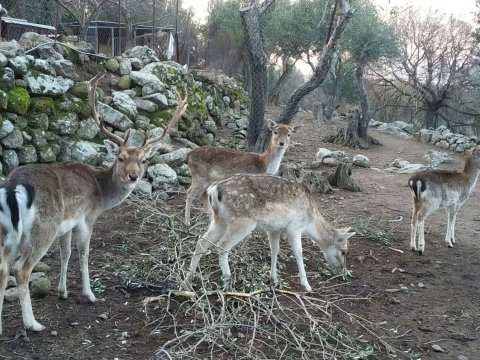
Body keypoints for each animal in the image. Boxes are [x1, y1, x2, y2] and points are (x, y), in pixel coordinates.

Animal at [0, 73, 188, 334]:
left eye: (143, 160)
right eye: (120, 158)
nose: (133, 176)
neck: (101, 192)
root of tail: (13, 186)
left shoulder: (66, 226)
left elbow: (66, 253)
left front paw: (62, 292)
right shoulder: (87, 217)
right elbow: (83, 253)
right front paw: (89, 294)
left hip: (9, 231)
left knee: (3, 268)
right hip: (43, 226)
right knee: (21, 269)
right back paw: (33, 324)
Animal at [182, 172, 354, 292]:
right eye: (344, 251)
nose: (342, 268)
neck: (310, 220)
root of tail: (213, 190)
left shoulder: (275, 229)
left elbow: (274, 249)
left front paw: (274, 279)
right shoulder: (294, 226)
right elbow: (298, 252)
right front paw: (306, 285)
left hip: (220, 220)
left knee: (202, 242)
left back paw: (187, 282)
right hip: (243, 222)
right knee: (222, 246)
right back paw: (228, 284)